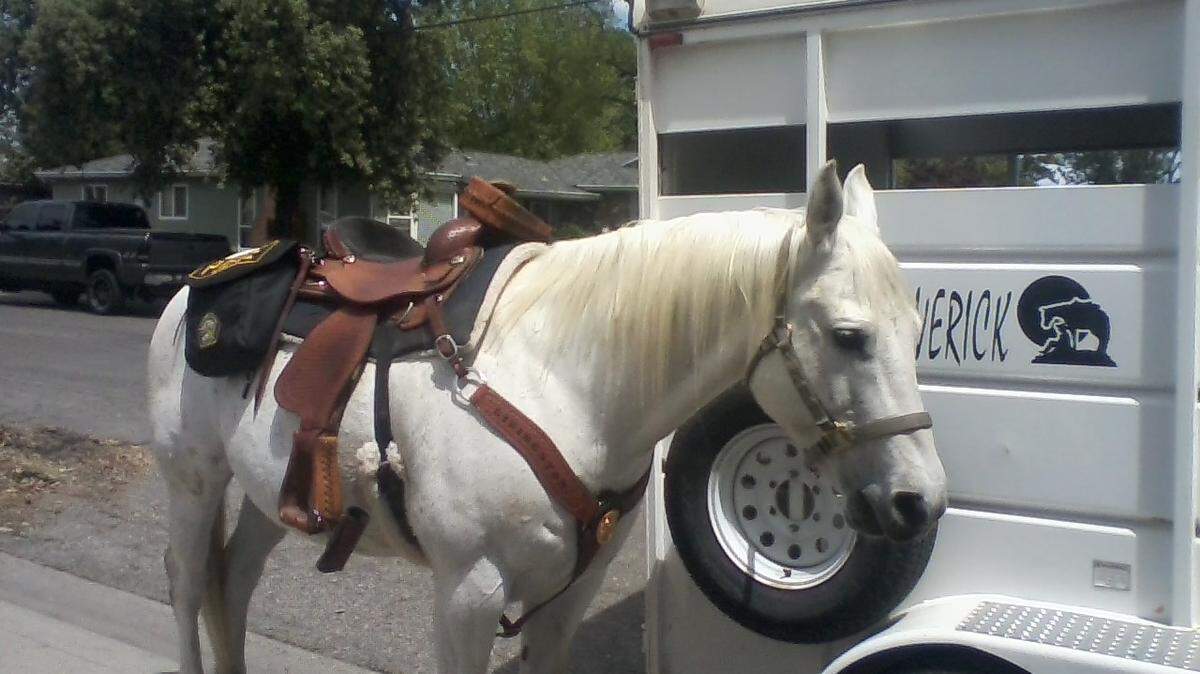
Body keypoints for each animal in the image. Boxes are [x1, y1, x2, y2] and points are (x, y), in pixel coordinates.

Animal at [146, 161, 947, 674]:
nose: (921, 500)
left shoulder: (568, 596)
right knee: (187, 588)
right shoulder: (467, 593)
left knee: (232, 586)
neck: (565, 382)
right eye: (849, 336)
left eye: (915, 330)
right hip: (191, 483)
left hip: (267, 496)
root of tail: (196, 286)